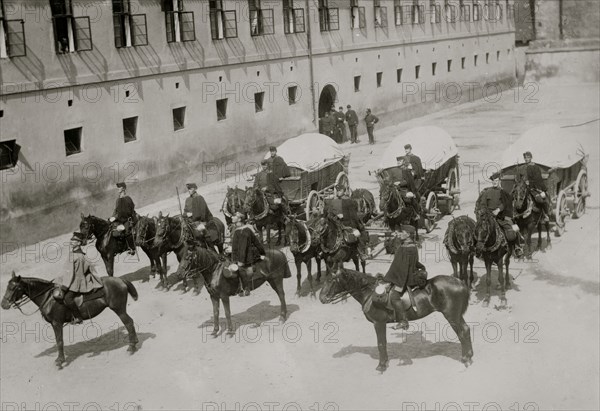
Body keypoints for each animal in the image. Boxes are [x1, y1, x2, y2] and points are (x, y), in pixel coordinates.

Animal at [0, 272, 138, 368]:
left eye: (13, 288)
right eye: (7, 286)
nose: (3, 305)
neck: (48, 298)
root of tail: (119, 279)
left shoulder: (56, 323)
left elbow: (59, 341)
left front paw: (59, 361)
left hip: (119, 310)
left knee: (129, 323)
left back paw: (131, 347)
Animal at [318, 270, 474, 374]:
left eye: (331, 281)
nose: (321, 298)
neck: (370, 293)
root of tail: (460, 282)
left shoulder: (378, 323)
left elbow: (381, 344)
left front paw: (381, 366)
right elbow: (384, 343)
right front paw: (385, 363)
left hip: (452, 315)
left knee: (462, 332)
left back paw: (466, 359)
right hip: (455, 315)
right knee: (465, 331)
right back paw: (468, 357)